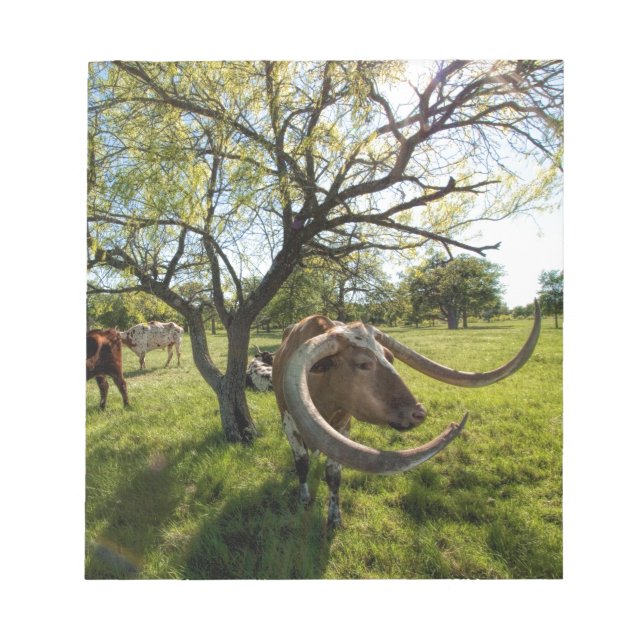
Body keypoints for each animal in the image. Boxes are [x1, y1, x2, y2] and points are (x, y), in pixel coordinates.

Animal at [272, 304, 541, 529]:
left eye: (390, 357)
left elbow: (334, 475)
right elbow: (302, 463)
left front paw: (335, 517)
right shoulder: (289, 424)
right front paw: (303, 497)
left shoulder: (343, 426)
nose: (419, 413)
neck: (320, 389)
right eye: (363, 364)